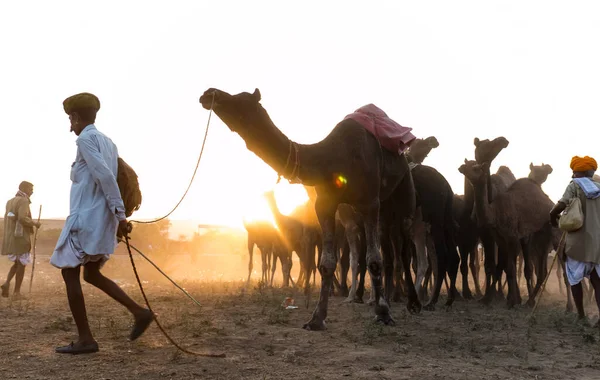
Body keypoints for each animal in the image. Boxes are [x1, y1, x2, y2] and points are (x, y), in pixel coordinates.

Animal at [199, 87, 420, 330]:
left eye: (241, 99)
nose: (208, 94)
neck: (333, 159)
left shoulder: (369, 202)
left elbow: (373, 259)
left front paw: (383, 313)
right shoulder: (324, 204)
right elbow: (326, 263)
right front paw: (316, 318)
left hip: (404, 190)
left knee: (405, 246)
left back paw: (413, 303)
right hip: (384, 207)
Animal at [460, 160, 552, 308]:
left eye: (476, 168)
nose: (462, 167)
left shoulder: (514, 237)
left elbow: (511, 268)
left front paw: (510, 300)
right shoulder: (500, 238)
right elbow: (505, 268)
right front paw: (497, 298)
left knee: (538, 269)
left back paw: (530, 300)